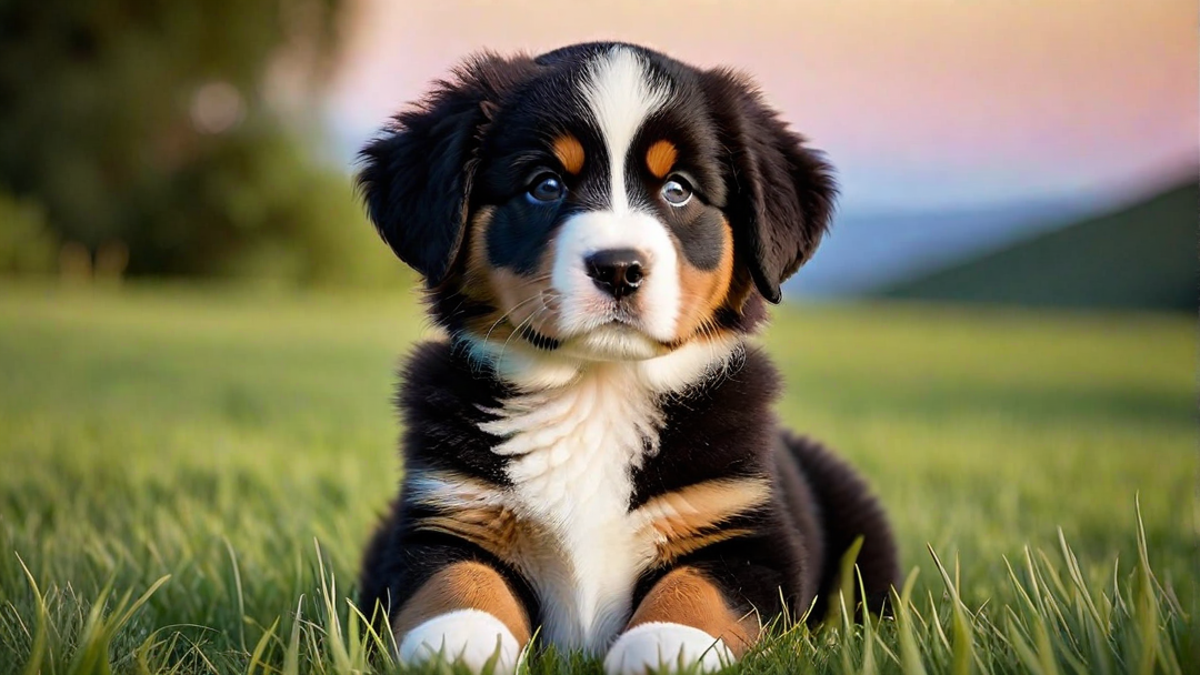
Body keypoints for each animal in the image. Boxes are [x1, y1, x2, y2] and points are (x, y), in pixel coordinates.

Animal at [350, 42, 897, 672]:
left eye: (678, 189)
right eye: (545, 185)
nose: (618, 268)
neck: (597, 389)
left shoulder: (748, 537)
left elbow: (698, 590)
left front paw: (663, 645)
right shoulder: (445, 515)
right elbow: (455, 582)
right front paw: (459, 644)